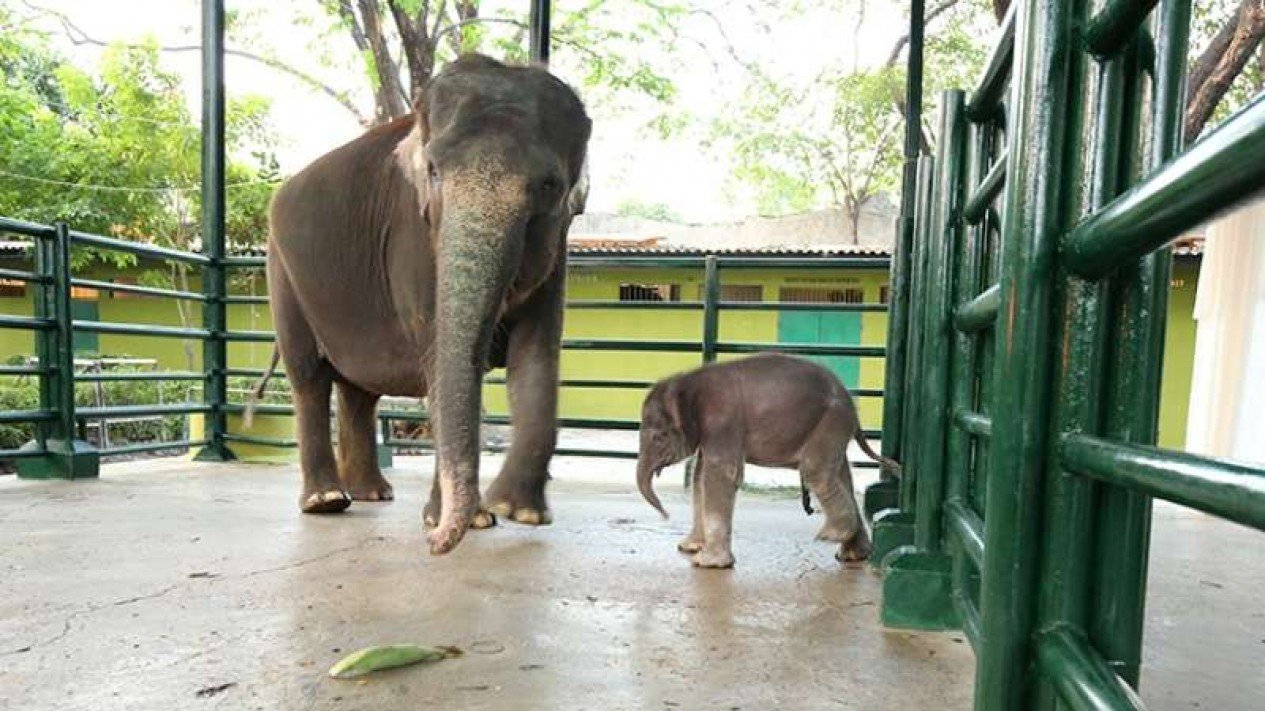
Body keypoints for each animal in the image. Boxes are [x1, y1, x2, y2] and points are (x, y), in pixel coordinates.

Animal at [260, 56, 592, 554]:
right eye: (433, 171)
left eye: (550, 186)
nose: (434, 545)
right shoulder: (412, 234)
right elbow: (438, 352)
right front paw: (470, 519)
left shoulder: (557, 252)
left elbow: (536, 352)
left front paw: (517, 511)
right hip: (282, 272)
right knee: (309, 376)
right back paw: (327, 501)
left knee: (358, 389)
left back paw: (372, 494)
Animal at [632, 351, 900, 566]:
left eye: (658, 437)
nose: (665, 516)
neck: (688, 381)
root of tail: (850, 401)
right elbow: (700, 477)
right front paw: (689, 548)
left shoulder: (723, 422)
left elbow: (722, 474)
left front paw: (705, 563)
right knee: (842, 475)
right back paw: (853, 554)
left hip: (831, 420)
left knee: (815, 471)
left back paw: (830, 535)